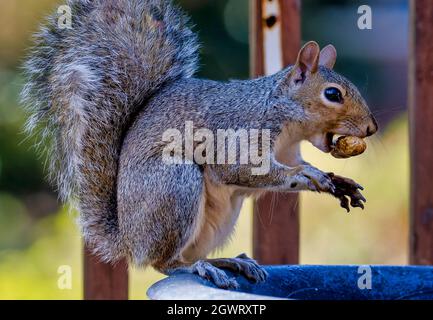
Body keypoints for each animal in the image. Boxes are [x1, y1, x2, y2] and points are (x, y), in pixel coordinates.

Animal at [22, 0, 376, 290]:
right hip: (175, 185)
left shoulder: (286, 152)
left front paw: (337, 181)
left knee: (189, 255)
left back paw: (226, 261)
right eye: (332, 94)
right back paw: (199, 269)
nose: (371, 128)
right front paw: (307, 175)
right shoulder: (240, 131)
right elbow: (243, 169)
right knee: (164, 263)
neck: (285, 121)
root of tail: (129, 240)